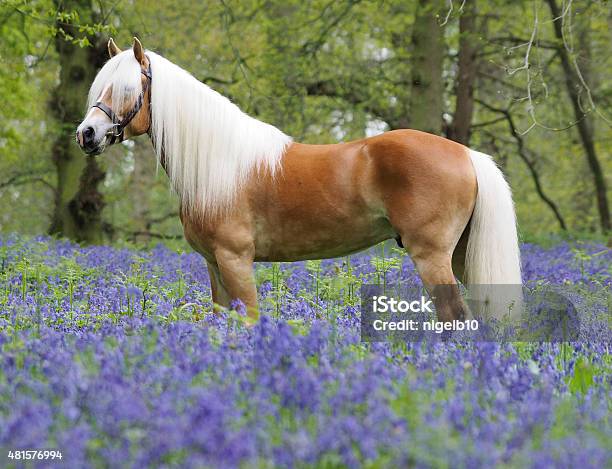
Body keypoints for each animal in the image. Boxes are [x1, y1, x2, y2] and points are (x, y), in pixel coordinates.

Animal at [74, 38, 520, 322]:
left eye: (127, 89)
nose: (87, 134)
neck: (219, 164)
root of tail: (467, 154)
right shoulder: (214, 264)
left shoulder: (235, 260)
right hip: (461, 256)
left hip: (432, 257)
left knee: (455, 319)